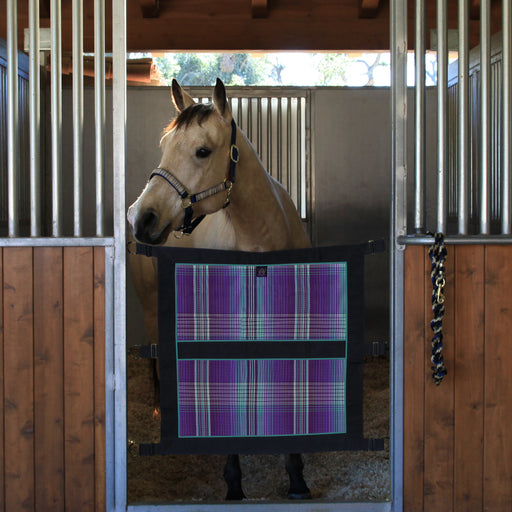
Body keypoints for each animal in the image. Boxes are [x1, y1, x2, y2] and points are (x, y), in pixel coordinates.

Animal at [128, 77, 312, 500]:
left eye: (202, 151)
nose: (141, 218)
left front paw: (296, 476)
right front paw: (234, 482)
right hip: (152, 307)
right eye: (164, 145)